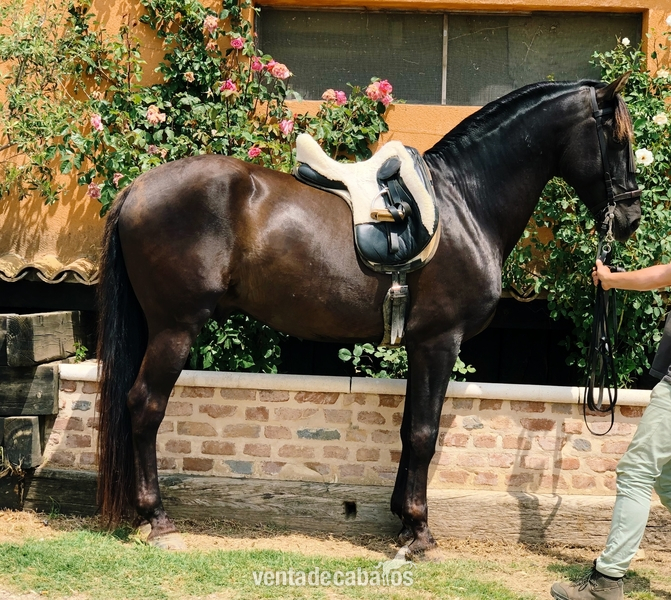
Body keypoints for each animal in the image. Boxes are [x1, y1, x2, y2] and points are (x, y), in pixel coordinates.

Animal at [96, 73, 641, 553]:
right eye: (617, 140)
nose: (632, 218)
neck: (466, 202)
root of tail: (136, 188)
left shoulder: (421, 345)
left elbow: (409, 429)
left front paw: (402, 520)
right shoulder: (439, 341)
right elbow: (424, 433)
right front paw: (419, 532)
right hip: (176, 327)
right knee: (145, 405)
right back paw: (158, 520)